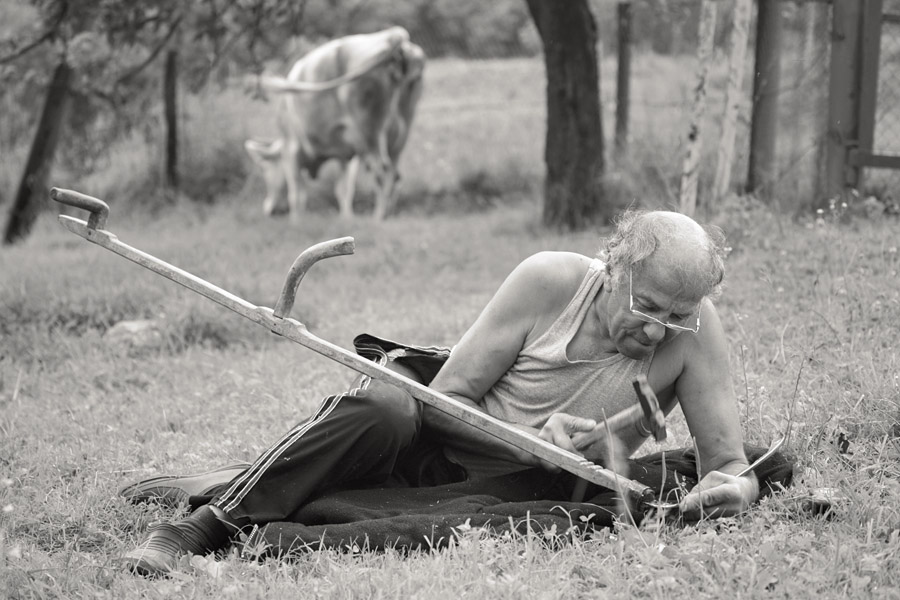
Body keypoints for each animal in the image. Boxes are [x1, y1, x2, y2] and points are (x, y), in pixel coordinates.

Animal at [244, 27, 425, 221]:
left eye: (264, 169)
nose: (269, 210)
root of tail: (392, 37)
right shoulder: (345, 152)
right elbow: (343, 189)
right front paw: (346, 219)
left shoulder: (291, 149)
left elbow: (297, 193)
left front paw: (296, 221)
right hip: (399, 135)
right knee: (394, 175)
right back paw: (387, 214)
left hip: (369, 131)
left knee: (382, 172)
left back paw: (377, 219)